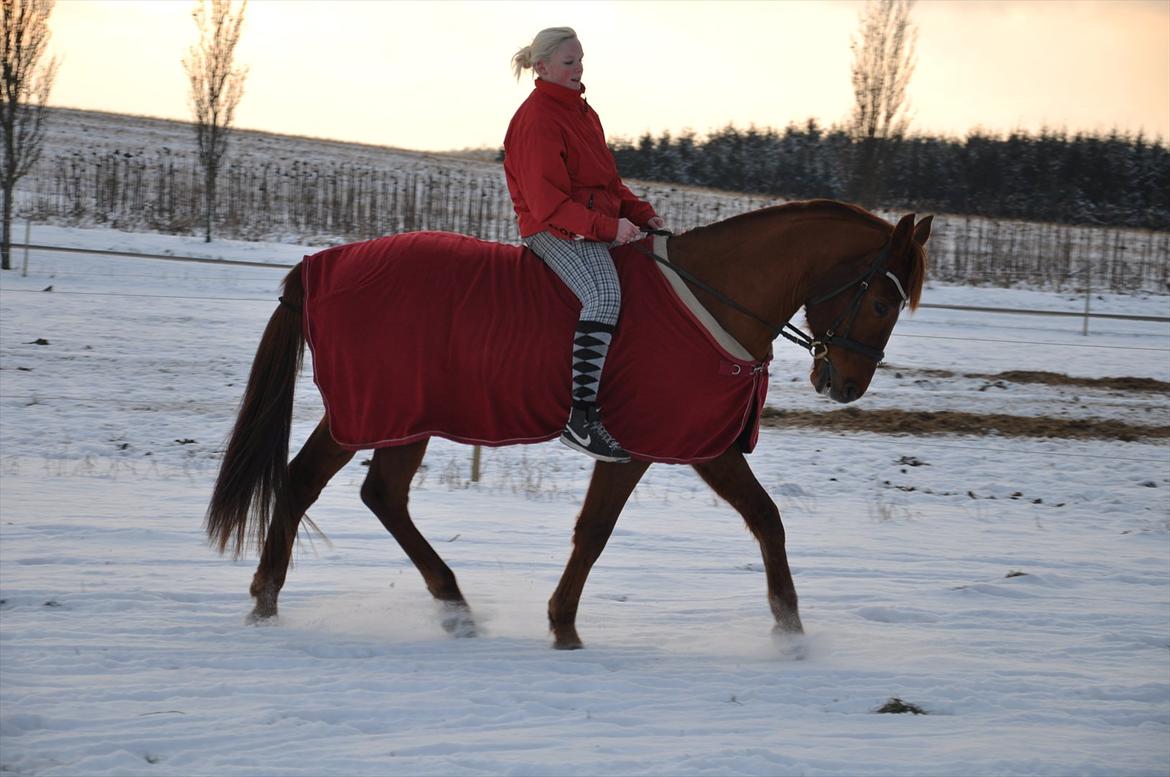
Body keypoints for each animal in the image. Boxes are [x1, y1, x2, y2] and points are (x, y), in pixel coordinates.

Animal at [203, 198, 931, 650]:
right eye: (883, 301)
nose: (847, 385)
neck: (715, 296)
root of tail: (316, 267)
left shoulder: (696, 445)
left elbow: (762, 518)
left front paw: (790, 630)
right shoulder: (653, 446)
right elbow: (600, 531)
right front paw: (565, 625)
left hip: (390, 414)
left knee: (346, 488)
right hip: (385, 409)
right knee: (346, 488)